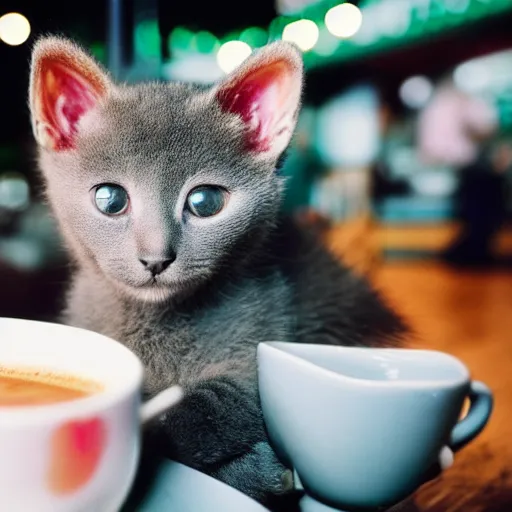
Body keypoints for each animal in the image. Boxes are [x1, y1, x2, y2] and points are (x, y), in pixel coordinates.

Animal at [29, 37, 408, 508]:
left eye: (205, 201)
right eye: (110, 199)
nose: (156, 258)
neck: (160, 321)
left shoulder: (264, 330)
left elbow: (214, 408)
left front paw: (258, 468)